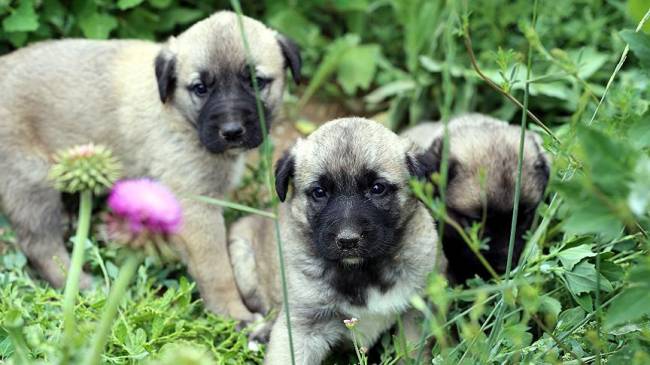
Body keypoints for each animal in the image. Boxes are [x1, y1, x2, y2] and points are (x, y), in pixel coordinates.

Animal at [0, 10, 302, 322]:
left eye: (256, 81)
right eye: (201, 88)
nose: (232, 131)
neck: (179, 114)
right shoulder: (196, 210)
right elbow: (217, 270)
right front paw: (234, 315)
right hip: (31, 180)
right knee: (40, 244)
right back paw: (82, 285)